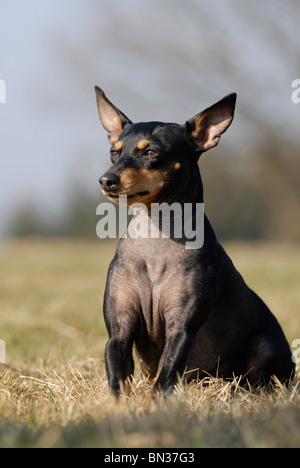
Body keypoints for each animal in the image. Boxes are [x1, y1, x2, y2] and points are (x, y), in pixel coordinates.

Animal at [95, 88, 294, 394]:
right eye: (114, 152)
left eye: (151, 152)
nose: (107, 180)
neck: (157, 236)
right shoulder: (118, 331)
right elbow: (118, 383)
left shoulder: (181, 330)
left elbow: (163, 380)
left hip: (265, 347)